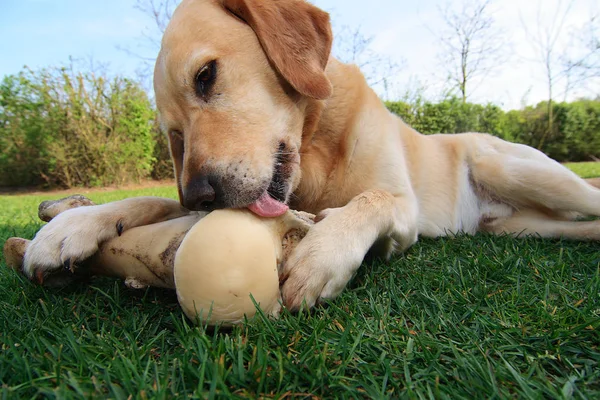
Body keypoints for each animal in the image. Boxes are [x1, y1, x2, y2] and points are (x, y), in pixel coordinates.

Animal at [23, 0, 600, 310]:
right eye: (175, 134)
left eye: (205, 75)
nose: (201, 198)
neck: (316, 148)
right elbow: (144, 200)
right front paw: (70, 227)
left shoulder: (403, 207)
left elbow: (368, 200)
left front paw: (322, 255)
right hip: (525, 227)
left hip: (513, 168)